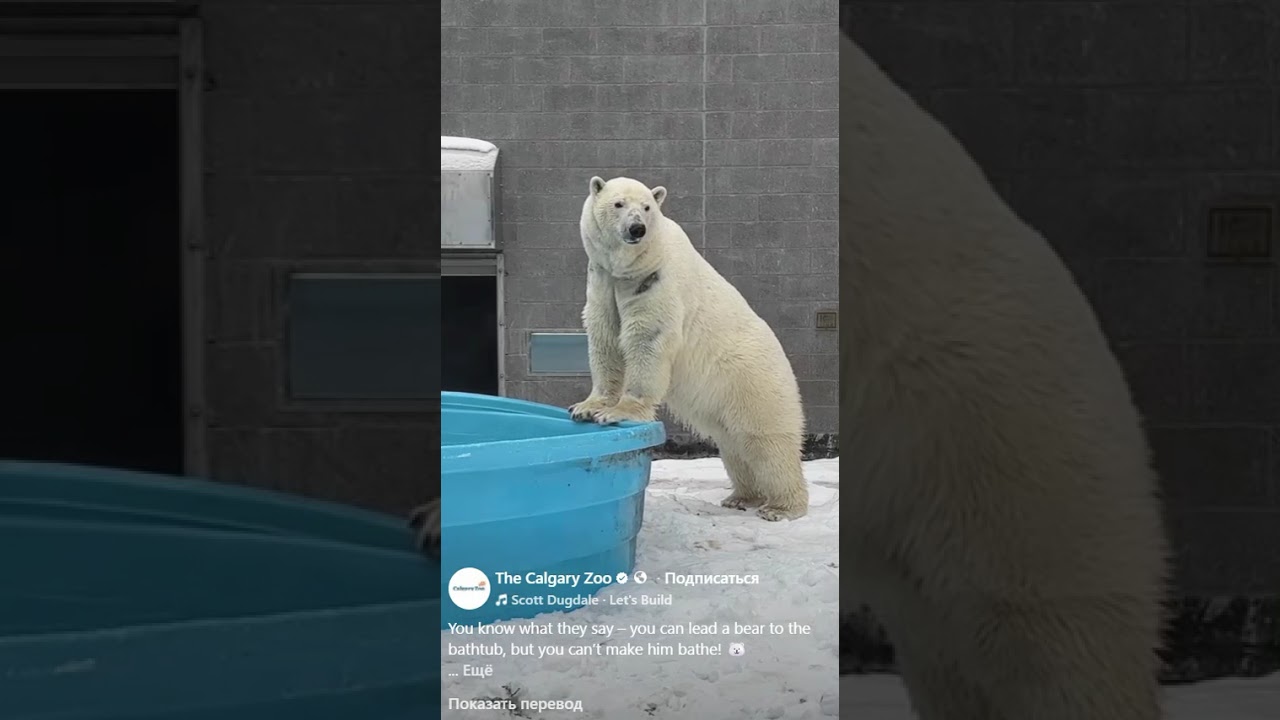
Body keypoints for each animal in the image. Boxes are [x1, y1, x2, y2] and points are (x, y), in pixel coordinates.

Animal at [568, 176, 810, 522]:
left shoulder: (656, 282)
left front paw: (617, 413)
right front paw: (586, 407)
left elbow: (647, 339)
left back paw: (781, 507)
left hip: (753, 381)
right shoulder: (603, 281)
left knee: (766, 442)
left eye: (647, 207)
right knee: (735, 446)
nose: (637, 229)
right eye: (618, 204)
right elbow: (604, 338)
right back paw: (741, 497)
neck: (631, 267)